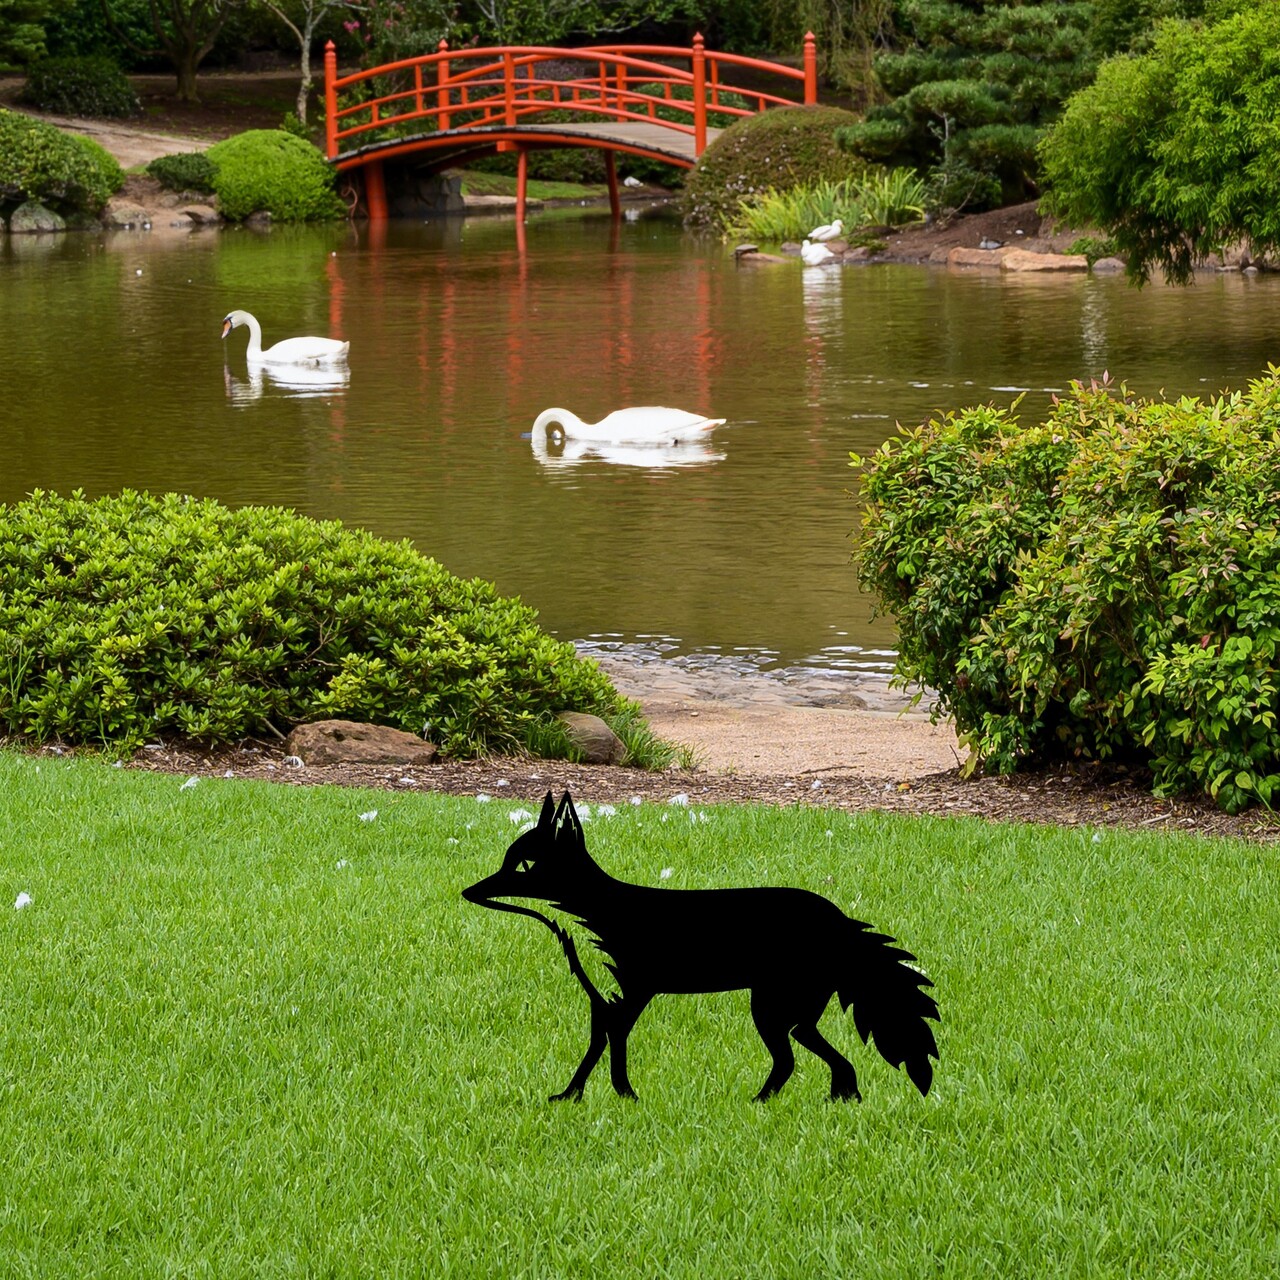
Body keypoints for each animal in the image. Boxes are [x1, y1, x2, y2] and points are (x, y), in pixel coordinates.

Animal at [462, 791, 940, 1103]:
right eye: (505, 861)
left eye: (522, 866)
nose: (467, 892)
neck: (595, 920)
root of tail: (838, 919)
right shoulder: (603, 1003)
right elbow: (593, 1053)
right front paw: (571, 1096)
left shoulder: (630, 997)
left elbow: (616, 1053)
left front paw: (626, 1098)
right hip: (791, 1015)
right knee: (825, 1059)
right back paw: (840, 1098)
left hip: (770, 1012)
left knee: (788, 1061)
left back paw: (759, 1104)